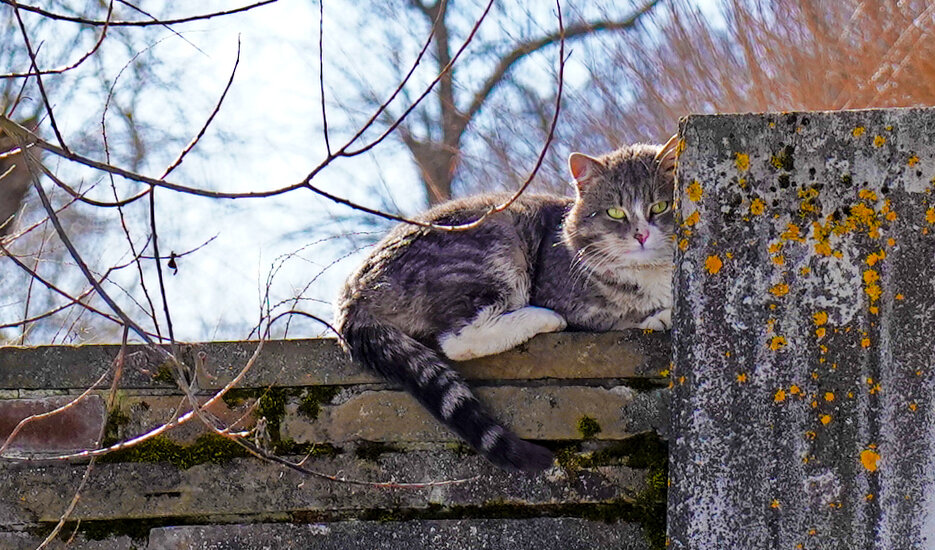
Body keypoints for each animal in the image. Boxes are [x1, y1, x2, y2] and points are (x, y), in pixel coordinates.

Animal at [336, 139, 680, 474]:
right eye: (615, 213)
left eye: (660, 206)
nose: (641, 234)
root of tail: (353, 292)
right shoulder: (569, 298)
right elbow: (622, 313)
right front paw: (660, 316)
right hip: (494, 249)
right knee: (458, 339)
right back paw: (542, 319)